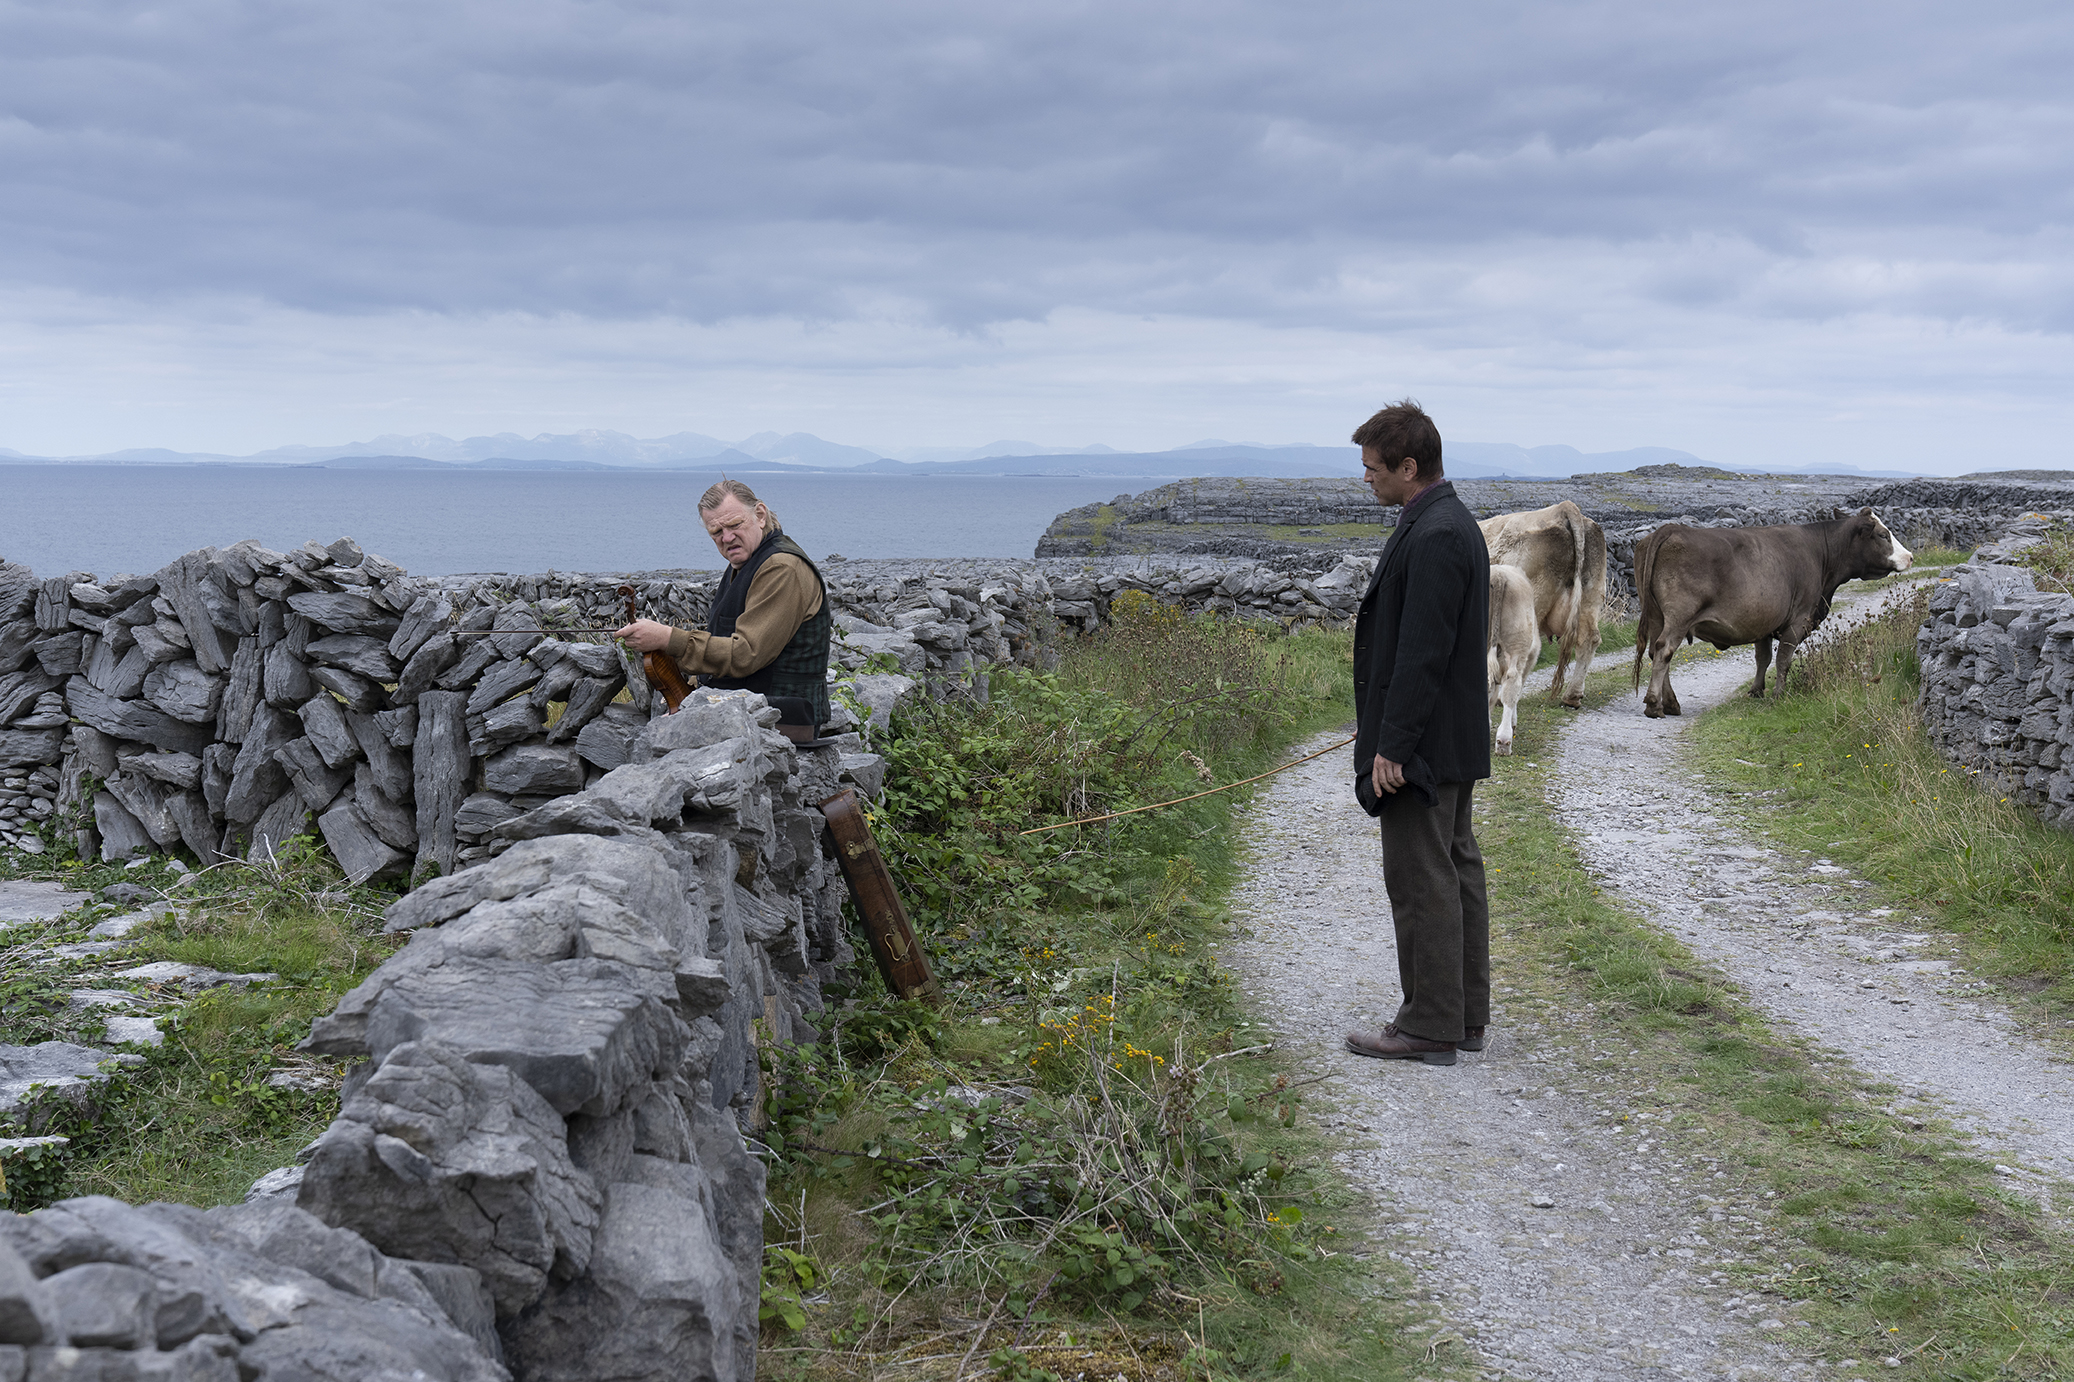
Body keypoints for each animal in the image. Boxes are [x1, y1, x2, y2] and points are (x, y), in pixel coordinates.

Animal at [1634, 508, 1908, 722]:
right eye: (1883, 535)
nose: (1910, 557)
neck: (1820, 553)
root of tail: (1669, 529)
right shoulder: (1798, 620)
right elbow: (1783, 660)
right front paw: (1778, 694)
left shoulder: (1763, 622)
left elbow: (1762, 658)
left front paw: (1756, 690)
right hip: (1678, 617)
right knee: (1664, 650)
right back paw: (1654, 704)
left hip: (1656, 615)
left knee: (1655, 651)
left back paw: (1671, 703)